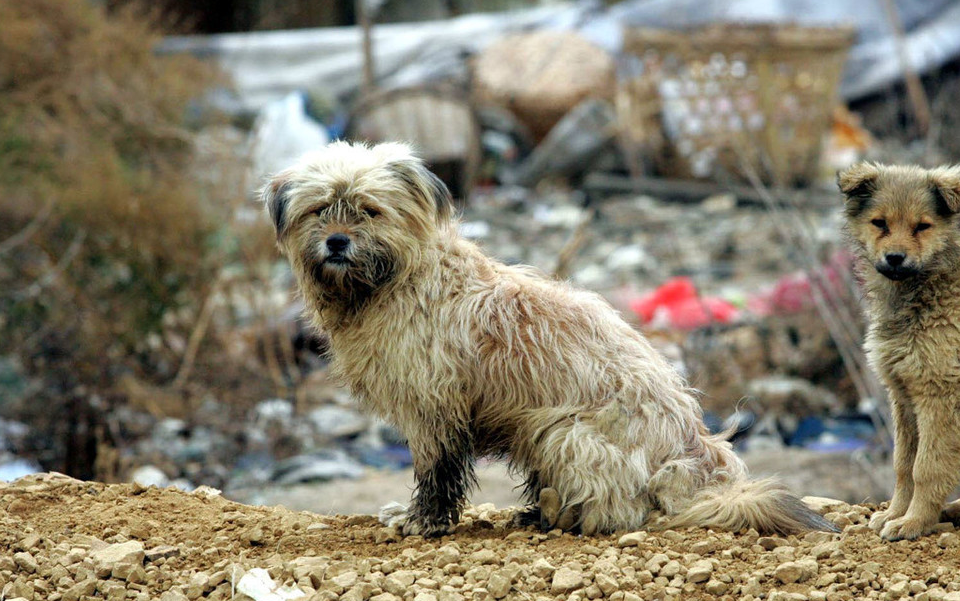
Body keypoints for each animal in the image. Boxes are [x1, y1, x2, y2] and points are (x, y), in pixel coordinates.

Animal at [262, 141, 832, 536]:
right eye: (319, 209)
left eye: (369, 210)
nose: (337, 243)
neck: (400, 276)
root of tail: (698, 459)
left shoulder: (433, 410)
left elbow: (436, 474)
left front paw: (422, 522)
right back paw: (541, 510)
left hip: (565, 431)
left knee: (623, 511)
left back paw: (562, 515)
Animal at [844, 163, 960, 540]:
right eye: (880, 223)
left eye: (922, 226)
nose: (895, 258)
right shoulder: (903, 395)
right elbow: (903, 464)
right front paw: (895, 514)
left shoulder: (940, 397)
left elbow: (926, 467)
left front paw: (913, 522)